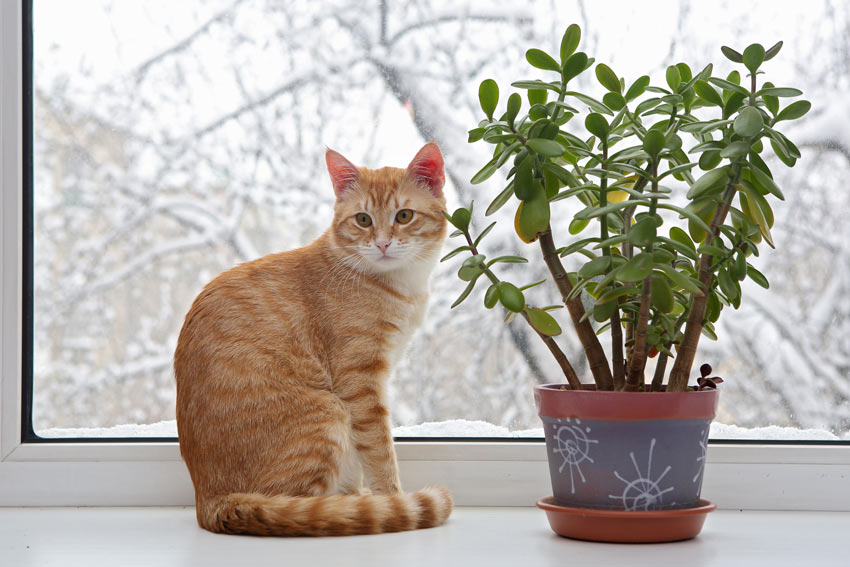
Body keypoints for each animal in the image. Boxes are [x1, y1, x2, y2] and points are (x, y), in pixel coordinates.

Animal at [172, 143, 450, 536]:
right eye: (363, 220)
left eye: (404, 215)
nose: (382, 244)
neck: (399, 285)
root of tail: (210, 501)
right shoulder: (360, 384)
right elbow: (379, 449)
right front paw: (391, 498)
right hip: (328, 412)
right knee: (300, 506)